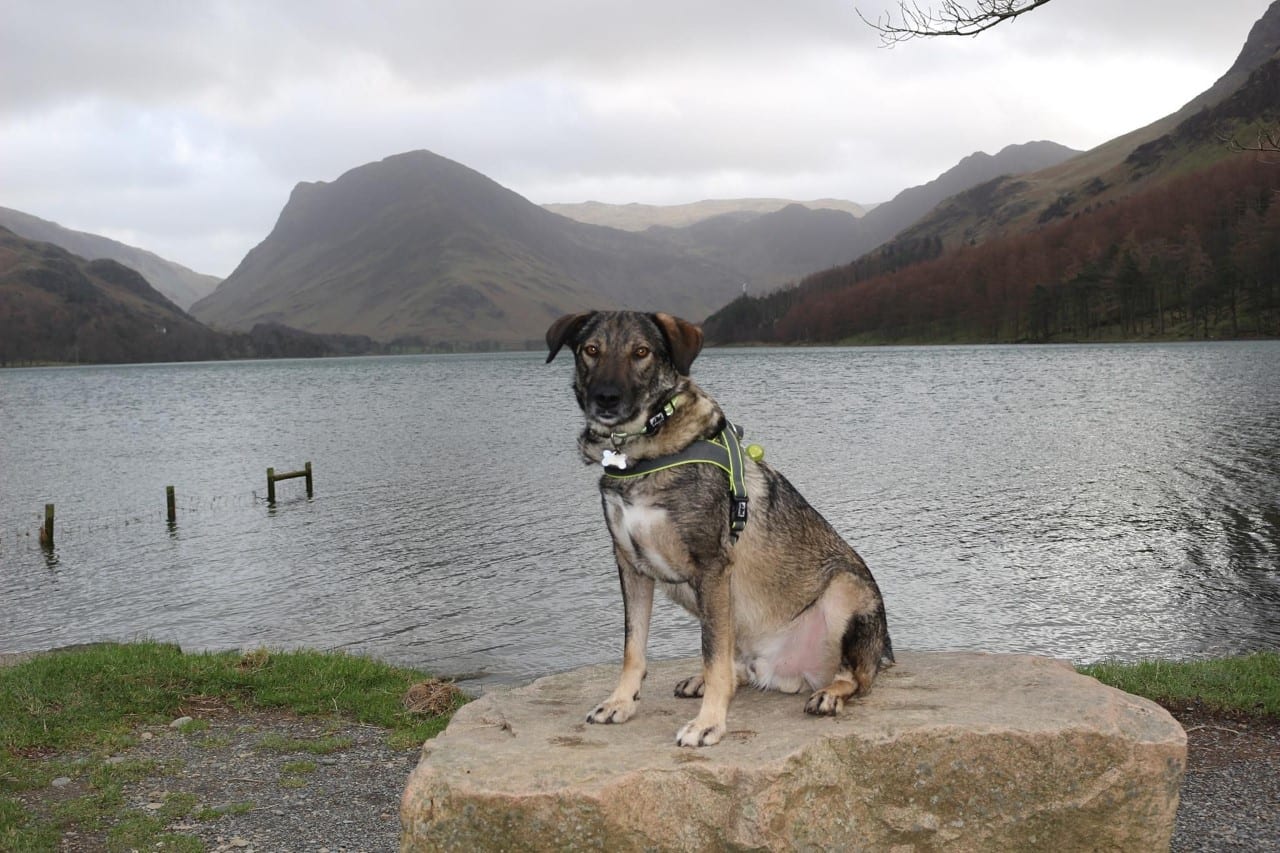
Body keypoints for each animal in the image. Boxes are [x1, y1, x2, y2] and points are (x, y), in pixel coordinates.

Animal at [545, 307, 896, 742]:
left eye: (641, 352)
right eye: (591, 350)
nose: (606, 398)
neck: (640, 454)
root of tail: (785, 672)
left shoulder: (711, 567)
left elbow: (712, 654)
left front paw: (708, 723)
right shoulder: (631, 566)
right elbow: (633, 648)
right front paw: (620, 702)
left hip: (847, 589)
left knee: (856, 677)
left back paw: (830, 692)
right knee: (735, 666)